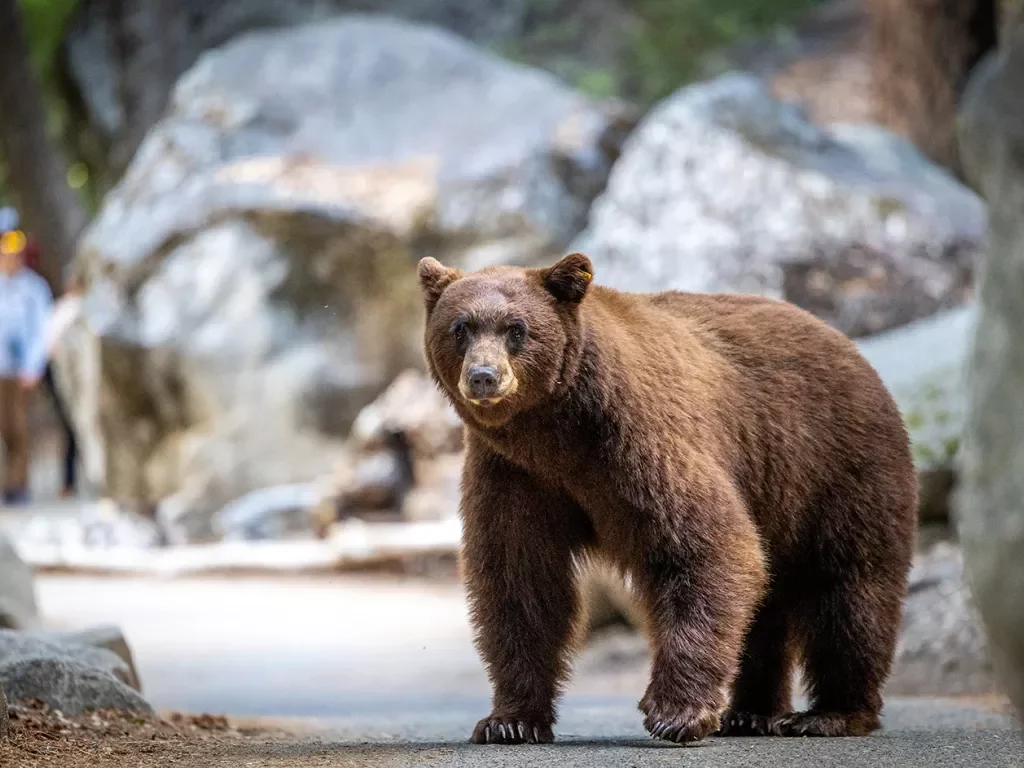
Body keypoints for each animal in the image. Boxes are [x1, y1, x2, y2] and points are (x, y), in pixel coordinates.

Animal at [415, 252, 921, 745]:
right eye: (460, 327)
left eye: (517, 329)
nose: (484, 377)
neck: (556, 434)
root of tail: (849, 344)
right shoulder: (515, 474)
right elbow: (519, 581)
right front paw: (509, 721)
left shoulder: (639, 442)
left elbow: (705, 546)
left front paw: (675, 714)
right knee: (768, 602)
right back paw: (750, 712)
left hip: (834, 469)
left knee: (850, 591)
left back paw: (830, 713)